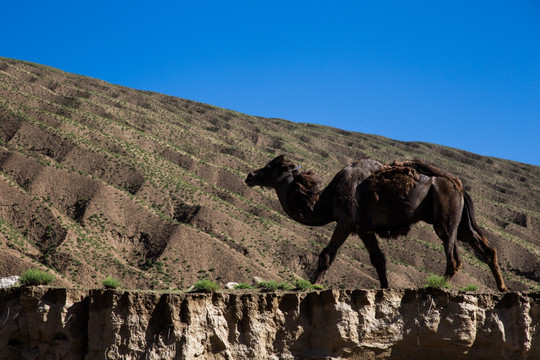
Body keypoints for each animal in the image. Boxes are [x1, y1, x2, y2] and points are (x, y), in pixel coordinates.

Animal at [247, 155, 508, 292]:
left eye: (270, 167)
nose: (250, 176)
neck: (326, 200)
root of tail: (458, 185)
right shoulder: (364, 229)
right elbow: (378, 261)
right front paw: (385, 288)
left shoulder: (345, 221)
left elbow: (326, 254)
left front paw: (314, 284)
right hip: (461, 221)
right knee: (486, 248)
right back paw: (502, 287)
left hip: (446, 216)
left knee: (454, 257)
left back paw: (436, 286)